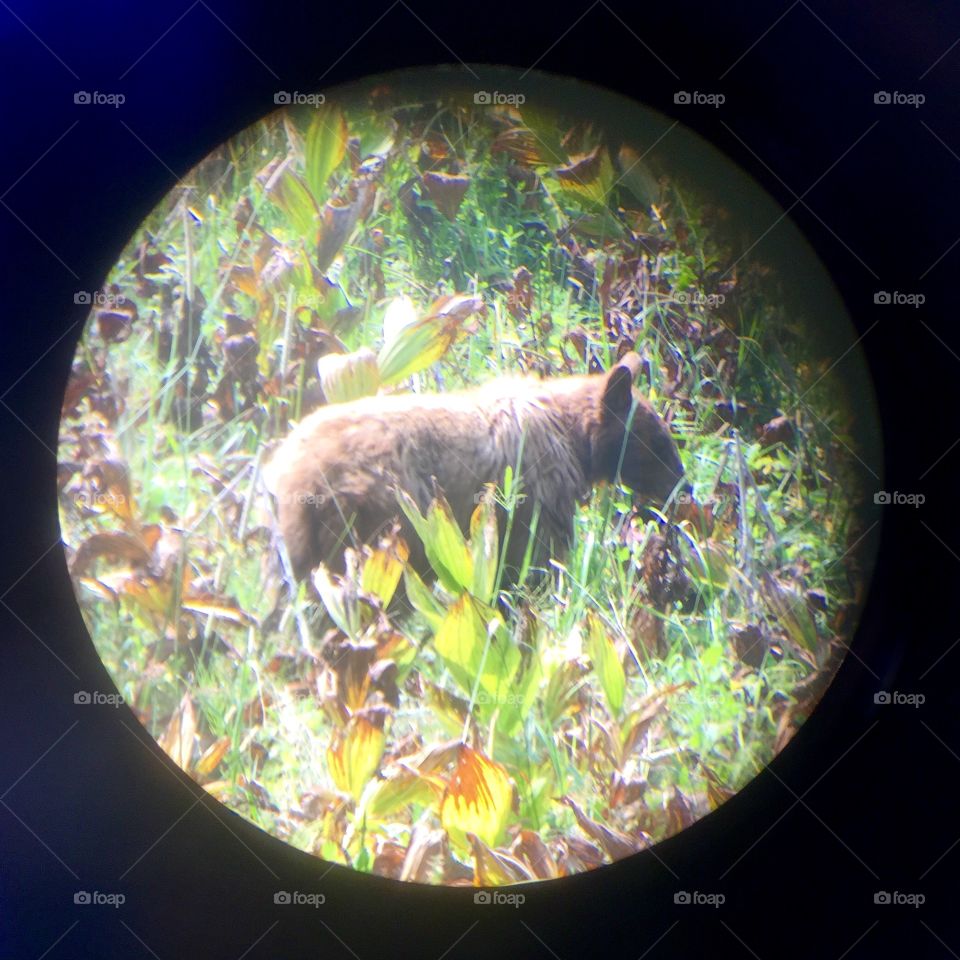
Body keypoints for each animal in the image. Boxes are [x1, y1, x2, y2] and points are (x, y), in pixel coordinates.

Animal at [266, 353, 685, 592]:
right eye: (657, 442)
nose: (683, 484)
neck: (570, 436)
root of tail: (290, 474)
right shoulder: (535, 494)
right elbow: (532, 562)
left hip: (298, 545)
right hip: (374, 528)